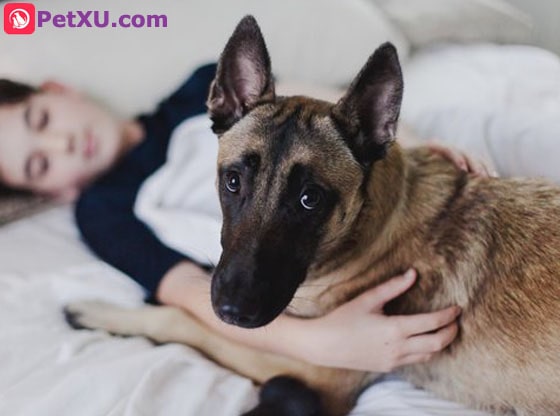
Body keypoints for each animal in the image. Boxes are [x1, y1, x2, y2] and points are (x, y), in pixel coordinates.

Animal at [65, 14, 560, 414]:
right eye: (233, 182)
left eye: (310, 199)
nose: (232, 310)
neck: (375, 224)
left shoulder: (322, 372)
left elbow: (183, 321)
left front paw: (106, 313)